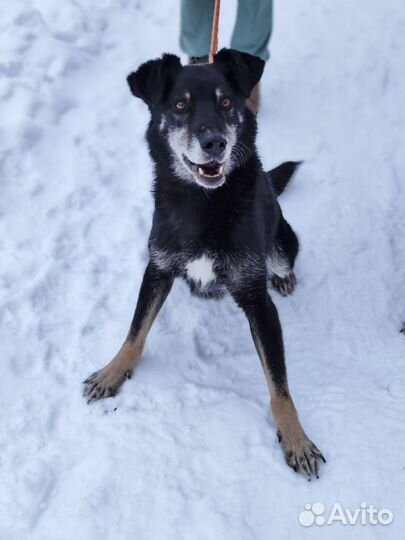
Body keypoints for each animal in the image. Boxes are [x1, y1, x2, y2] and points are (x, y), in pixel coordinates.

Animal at [83, 48, 326, 478]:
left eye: (226, 103)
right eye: (180, 106)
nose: (215, 142)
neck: (204, 202)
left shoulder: (258, 302)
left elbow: (279, 383)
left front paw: (297, 439)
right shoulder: (157, 269)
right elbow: (135, 332)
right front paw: (112, 373)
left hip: (280, 244)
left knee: (284, 261)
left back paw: (285, 279)